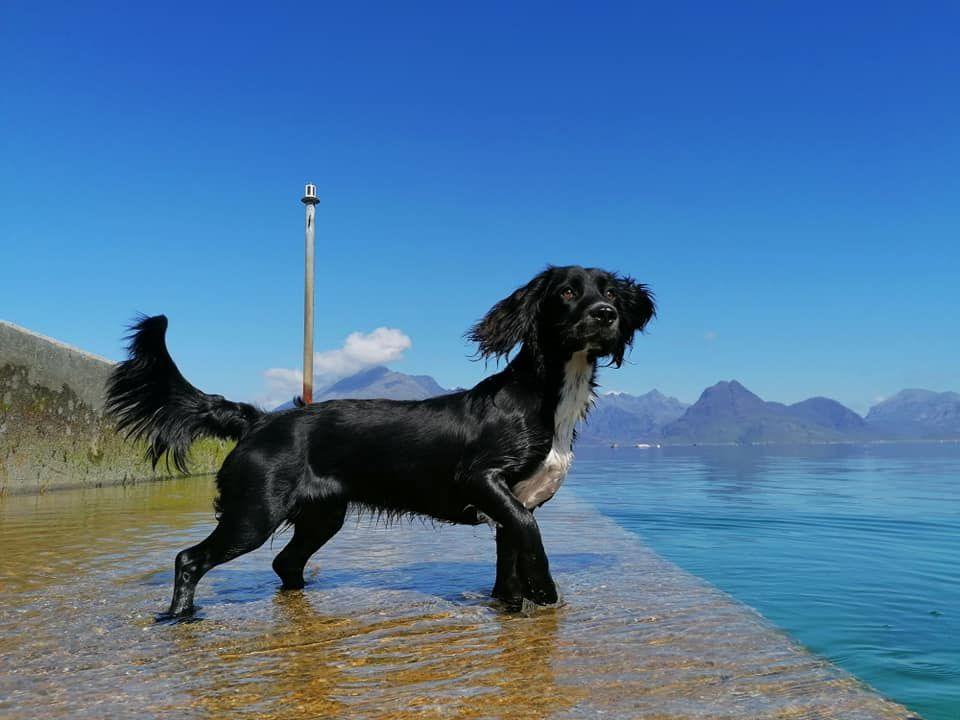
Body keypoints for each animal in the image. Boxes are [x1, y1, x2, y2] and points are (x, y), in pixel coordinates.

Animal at [109, 266, 656, 620]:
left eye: (611, 292)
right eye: (566, 292)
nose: (606, 314)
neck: (544, 397)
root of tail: (261, 419)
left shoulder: (511, 504)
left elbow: (512, 558)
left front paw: (513, 604)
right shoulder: (482, 479)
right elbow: (529, 535)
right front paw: (545, 591)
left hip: (322, 514)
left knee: (285, 562)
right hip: (254, 512)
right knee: (190, 559)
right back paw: (180, 616)